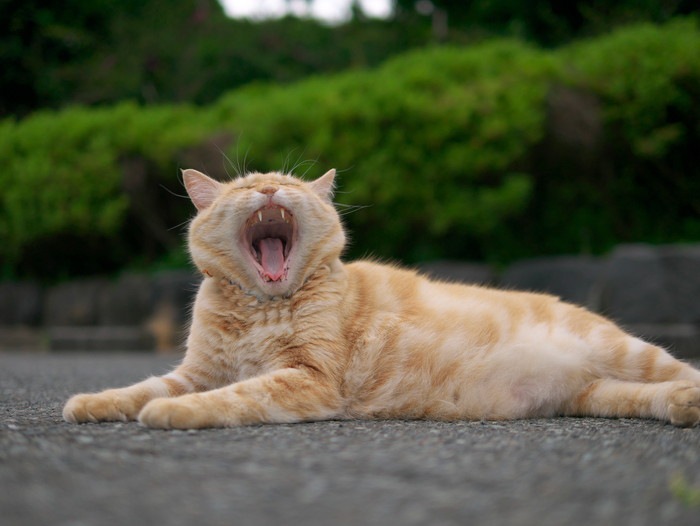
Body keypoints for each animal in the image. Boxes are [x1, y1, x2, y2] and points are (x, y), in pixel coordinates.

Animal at [64, 169, 700, 428]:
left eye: (287, 185)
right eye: (245, 188)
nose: (268, 190)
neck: (261, 309)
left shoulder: (305, 378)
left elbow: (231, 396)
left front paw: (171, 415)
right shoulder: (195, 372)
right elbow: (142, 387)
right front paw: (94, 402)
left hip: (631, 354)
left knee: (684, 369)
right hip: (601, 393)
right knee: (652, 395)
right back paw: (681, 408)